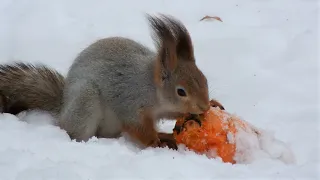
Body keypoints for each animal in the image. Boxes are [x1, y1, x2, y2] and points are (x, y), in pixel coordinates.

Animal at [0, 13, 224, 149]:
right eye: (181, 91)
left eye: (204, 80)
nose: (204, 106)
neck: (152, 88)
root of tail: (63, 107)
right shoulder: (130, 102)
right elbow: (137, 127)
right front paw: (155, 141)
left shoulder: (163, 110)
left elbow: (172, 114)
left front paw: (210, 105)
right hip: (85, 101)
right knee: (77, 131)